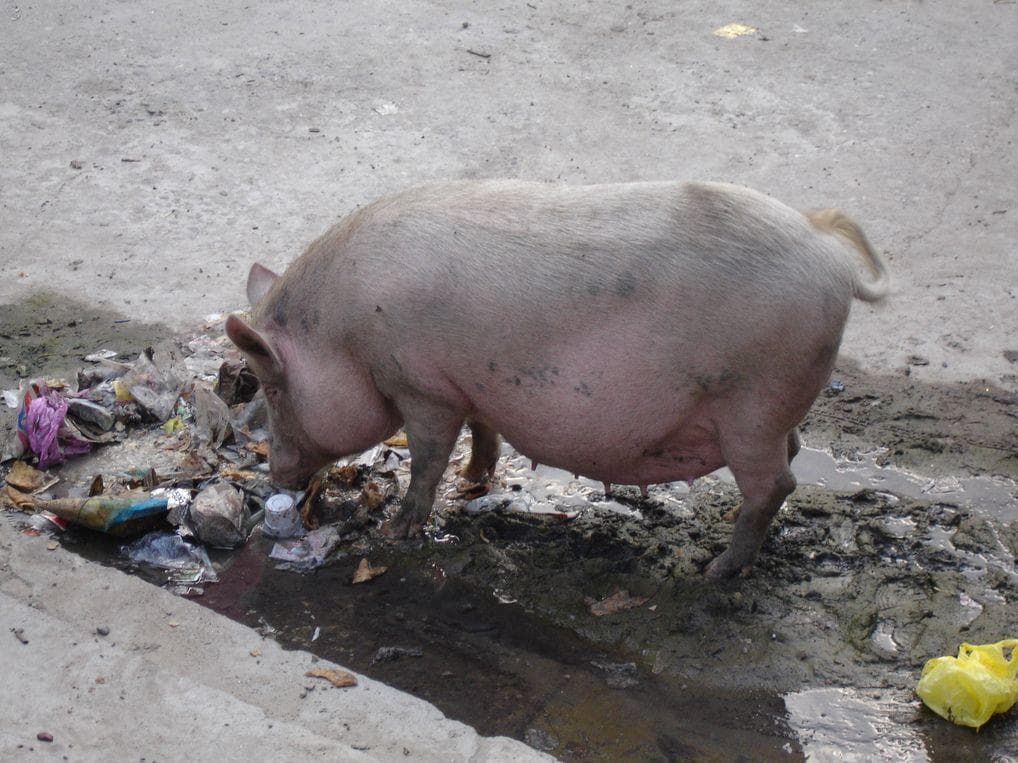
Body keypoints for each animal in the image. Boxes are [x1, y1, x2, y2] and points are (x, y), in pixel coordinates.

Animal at [225, 180, 888, 580]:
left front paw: (399, 529)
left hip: (753, 402)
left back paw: (716, 570)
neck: (343, 333)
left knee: (777, 482)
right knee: (792, 453)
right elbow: (483, 429)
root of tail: (828, 248)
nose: (275, 474)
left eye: (273, 388)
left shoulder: (420, 385)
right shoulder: (470, 383)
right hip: (766, 408)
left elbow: (428, 456)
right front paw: (473, 482)